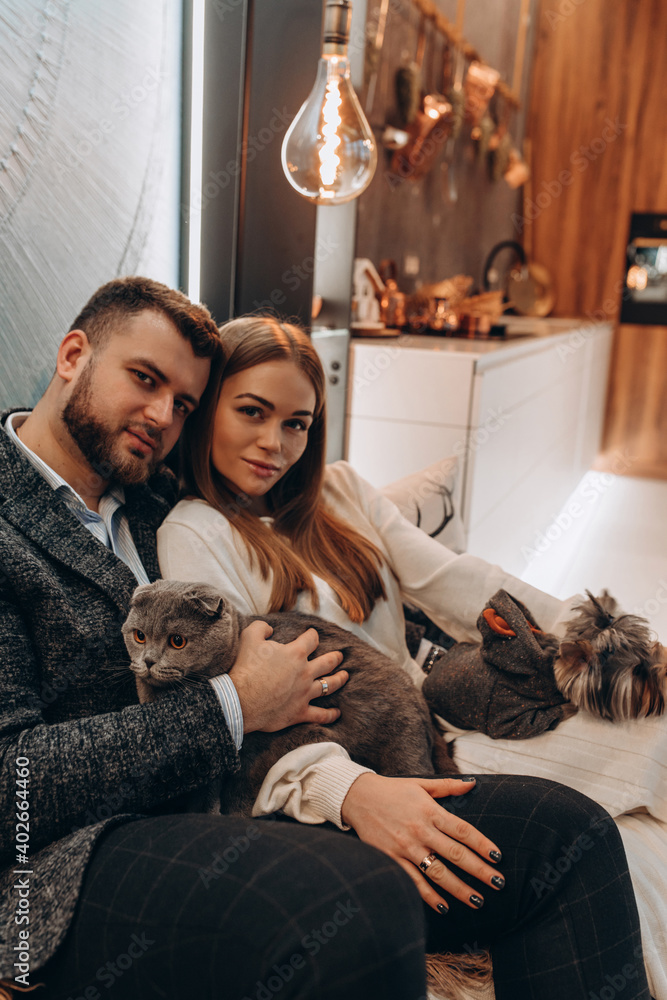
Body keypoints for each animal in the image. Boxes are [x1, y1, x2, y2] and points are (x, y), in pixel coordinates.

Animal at [122, 576, 456, 816]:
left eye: (177, 641)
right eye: (139, 636)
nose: (148, 661)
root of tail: (422, 703)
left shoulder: (275, 741)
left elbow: (241, 786)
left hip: (401, 746)